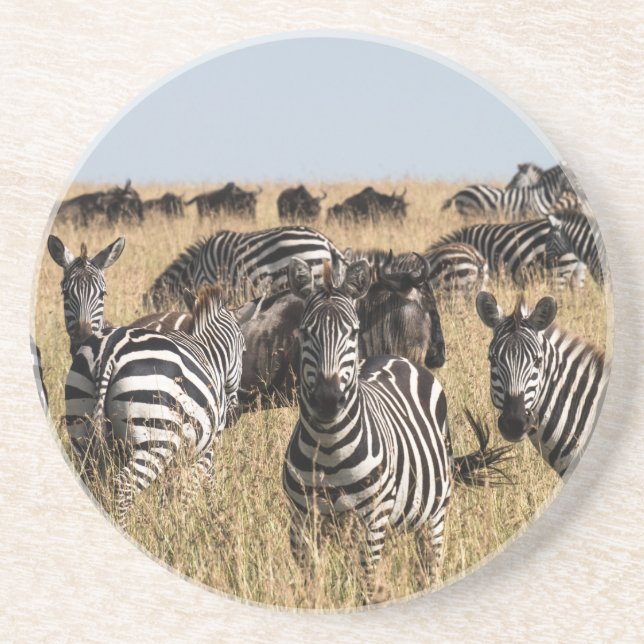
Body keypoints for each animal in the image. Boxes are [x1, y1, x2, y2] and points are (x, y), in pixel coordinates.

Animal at [64, 284, 245, 527]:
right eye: (243, 349)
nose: (235, 414)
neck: (208, 352)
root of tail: (110, 350)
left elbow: (172, 492)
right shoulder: (205, 448)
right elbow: (193, 487)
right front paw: (186, 524)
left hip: (81, 428)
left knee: (90, 481)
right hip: (155, 439)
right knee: (124, 487)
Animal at [282, 258, 510, 600]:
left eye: (353, 332)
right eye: (306, 332)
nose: (328, 400)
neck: (328, 447)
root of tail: (397, 358)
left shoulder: (371, 521)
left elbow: (365, 588)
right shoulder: (301, 525)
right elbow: (311, 591)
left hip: (433, 517)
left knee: (428, 569)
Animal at [442, 165, 573, 221]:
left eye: (515, 178)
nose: (507, 187)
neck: (540, 195)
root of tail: (459, 192)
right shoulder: (530, 216)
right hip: (469, 213)